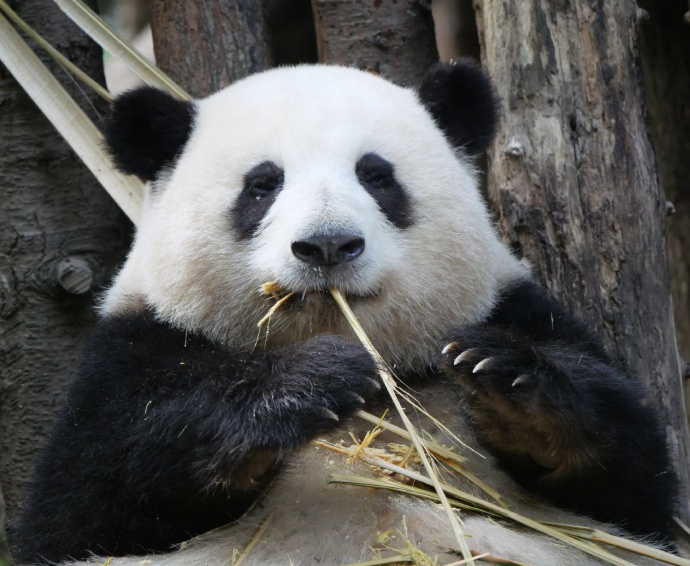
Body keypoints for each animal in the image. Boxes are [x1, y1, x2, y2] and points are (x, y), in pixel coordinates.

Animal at [10, 61, 678, 566]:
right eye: (263, 185)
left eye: (377, 176)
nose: (327, 245)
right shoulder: (135, 345)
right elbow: (88, 497)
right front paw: (309, 383)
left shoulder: (518, 308)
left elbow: (633, 490)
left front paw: (503, 377)